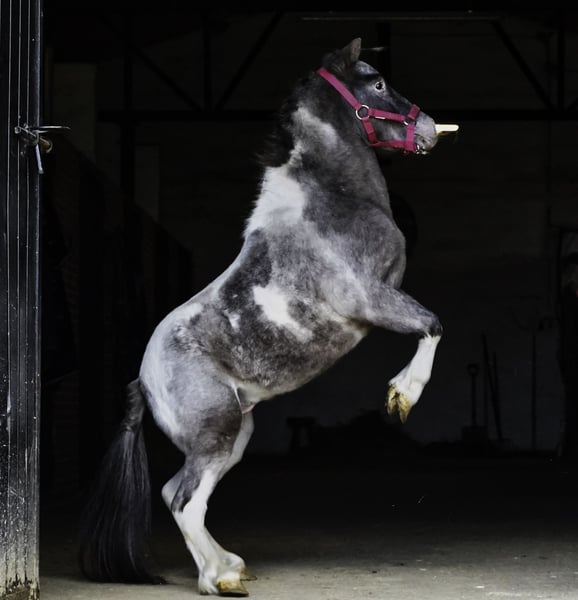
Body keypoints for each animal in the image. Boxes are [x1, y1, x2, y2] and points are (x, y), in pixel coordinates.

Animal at [78, 37, 450, 597]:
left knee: (177, 493)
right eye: (379, 82)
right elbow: (431, 325)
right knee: (183, 500)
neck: (331, 201)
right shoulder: (372, 298)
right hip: (217, 433)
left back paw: (226, 567)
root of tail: (142, 382)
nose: (427, 127)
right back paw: (221, 580)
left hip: (234, 438)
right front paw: (402, 395)